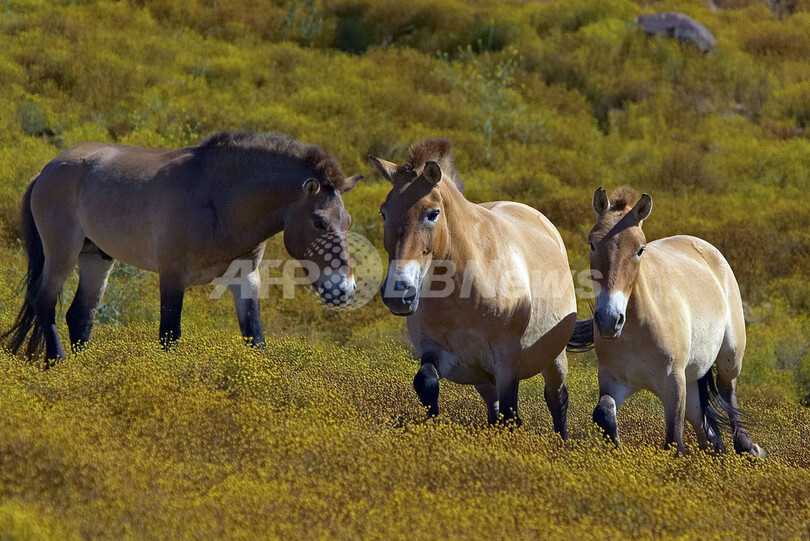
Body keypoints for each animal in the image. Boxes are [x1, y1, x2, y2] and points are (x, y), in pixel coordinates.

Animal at [2, 131, 362, 362]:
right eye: (319, 222)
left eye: (347, 222)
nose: (344, 289)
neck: (218, 198)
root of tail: (46, 170)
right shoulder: (173, 275)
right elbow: (169, 335)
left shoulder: (246, 277)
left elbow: (255, 339)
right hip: (62, 252)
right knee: (44, 301)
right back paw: (58, 362)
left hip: (96, 259)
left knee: (80, 315)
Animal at [368, 139, 588, 434]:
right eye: (383, 212)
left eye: (432, 213)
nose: (399, 294)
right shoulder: (437, 352)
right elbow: (425, 383)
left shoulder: (507, 364)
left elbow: (511, 414)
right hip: (484, 380)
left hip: (553, 358)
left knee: (557, 399)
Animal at [584, 188, 760, 458]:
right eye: (592, 244)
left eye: (640, 249)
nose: (609, 320)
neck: (639, 330)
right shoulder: (612, 379)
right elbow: (603, 413)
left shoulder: (674, 385)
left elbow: (673, 440)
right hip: (693, 379)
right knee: (707, 431)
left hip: (729, 359)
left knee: (729, 396)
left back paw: (746, 448)